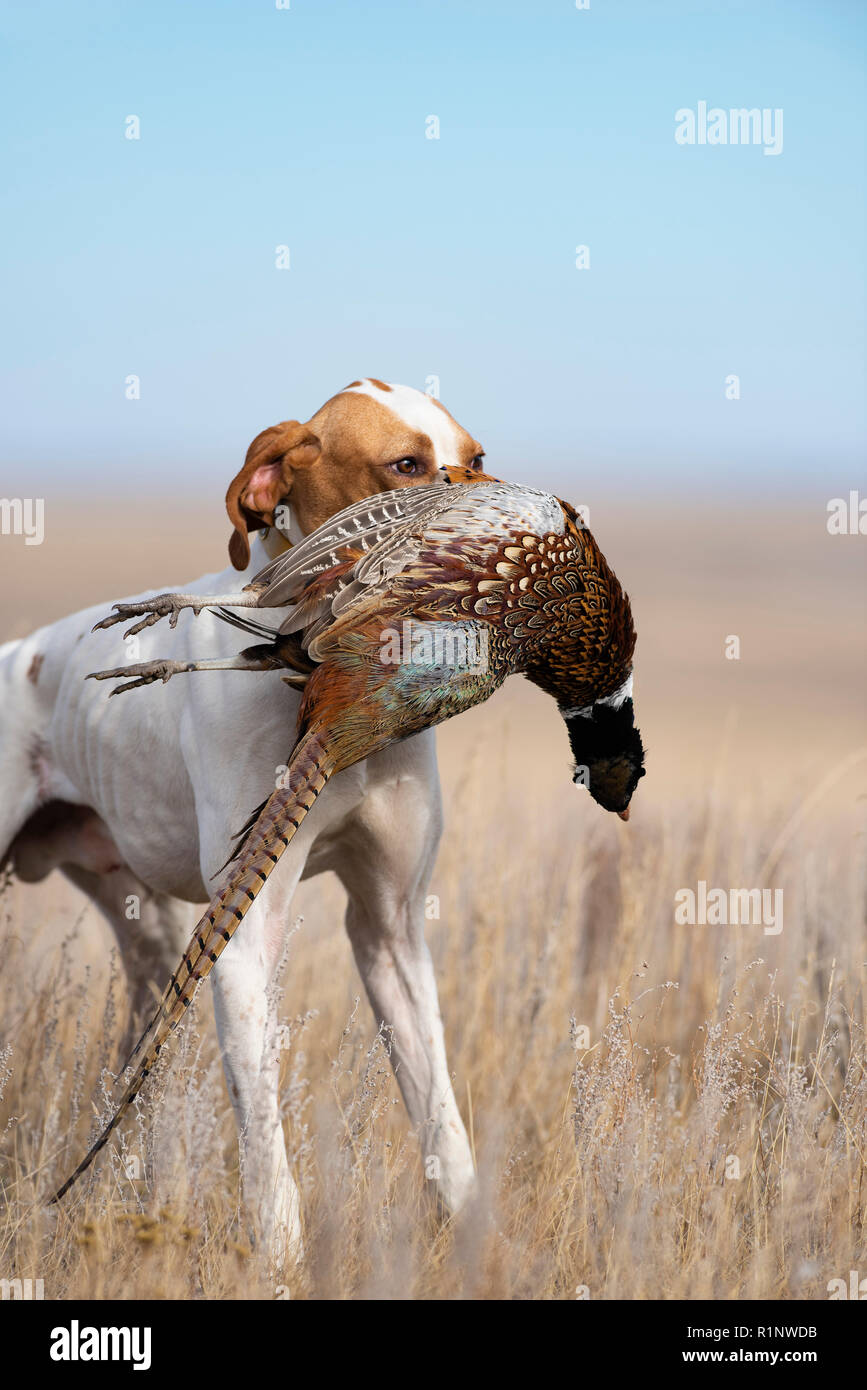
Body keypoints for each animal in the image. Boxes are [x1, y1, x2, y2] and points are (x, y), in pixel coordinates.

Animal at [0, 383, 489, 1262]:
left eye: (477, 459)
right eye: (405, 466)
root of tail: (22, 651)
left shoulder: (390, 928)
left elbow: (440, 1116)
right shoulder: (243, 935)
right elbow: (261, 1128)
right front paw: (280, 1253)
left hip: (154, 943)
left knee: (139, 1076)